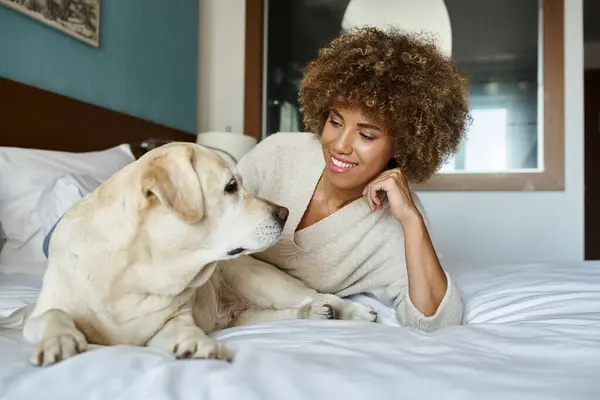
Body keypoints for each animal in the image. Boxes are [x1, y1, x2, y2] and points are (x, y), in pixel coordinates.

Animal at [25, 142, 378, 368]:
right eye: (231, 187)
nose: (285, 212)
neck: (138, 275)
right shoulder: (35, 317)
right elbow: (52, 315)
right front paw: (60, 341)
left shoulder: (172, 322)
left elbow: (185, 330)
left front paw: (197, 344)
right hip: (249, 314)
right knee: (291, 312)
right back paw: (315, 314)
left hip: (261, 280)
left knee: (317, 296)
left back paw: (351, 312)